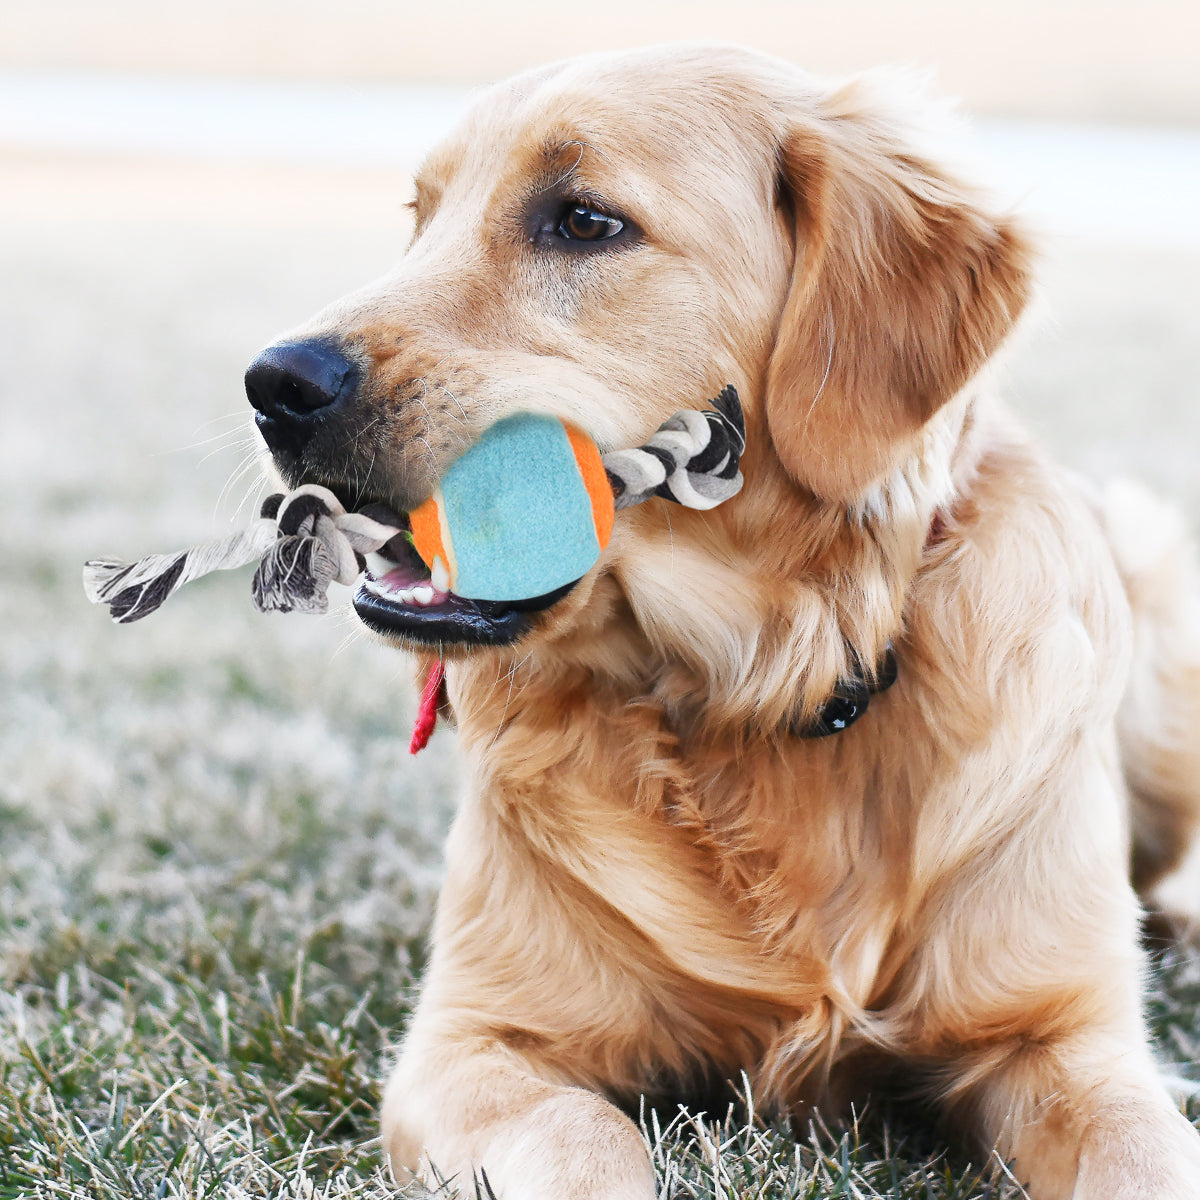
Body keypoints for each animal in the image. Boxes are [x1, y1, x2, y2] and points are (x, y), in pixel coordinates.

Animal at [238, 42, 1200, 1195]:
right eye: (420, 217)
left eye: (584, 221)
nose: (273, 384)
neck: (766, 687)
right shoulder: (474, 1041)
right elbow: (583, 1140)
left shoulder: (1068, 1042)